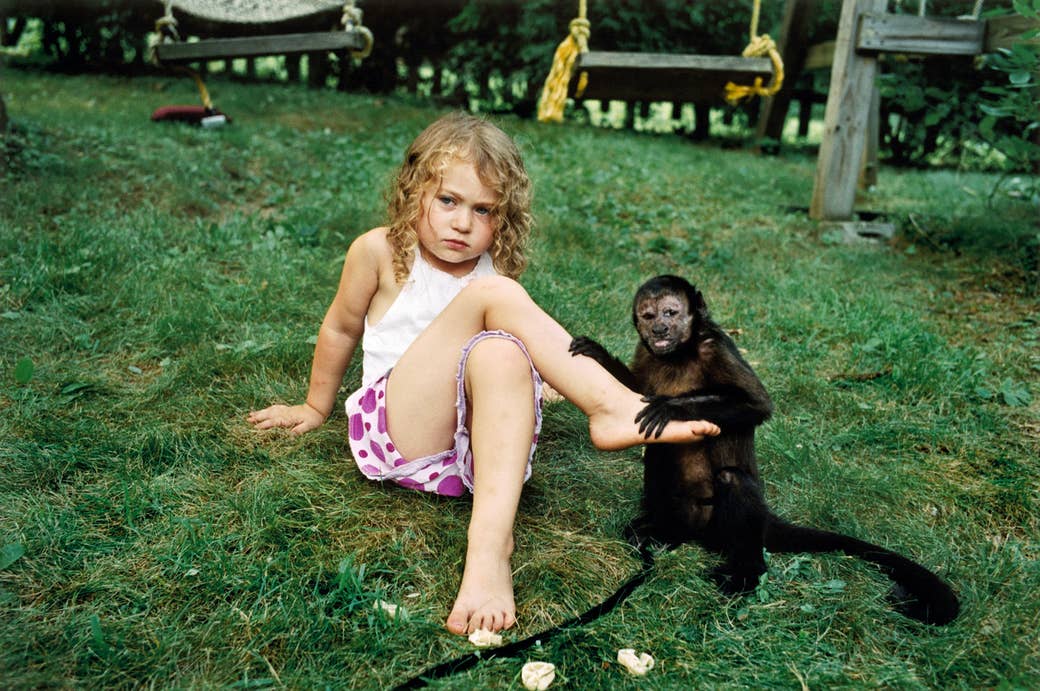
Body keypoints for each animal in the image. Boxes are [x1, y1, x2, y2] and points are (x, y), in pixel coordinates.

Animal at [569, 274, 956, 624]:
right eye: (649, 316)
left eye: (671, 312)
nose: (660, 330)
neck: (680, 354)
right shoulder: (645, 352)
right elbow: (632, 392)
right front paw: (601, 357)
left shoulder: (717, 347)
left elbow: (757, 405)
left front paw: (673, 407)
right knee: (659, 454)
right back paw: (661, 533)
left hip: (723, 528)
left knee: (732, 480)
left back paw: (746, 574)